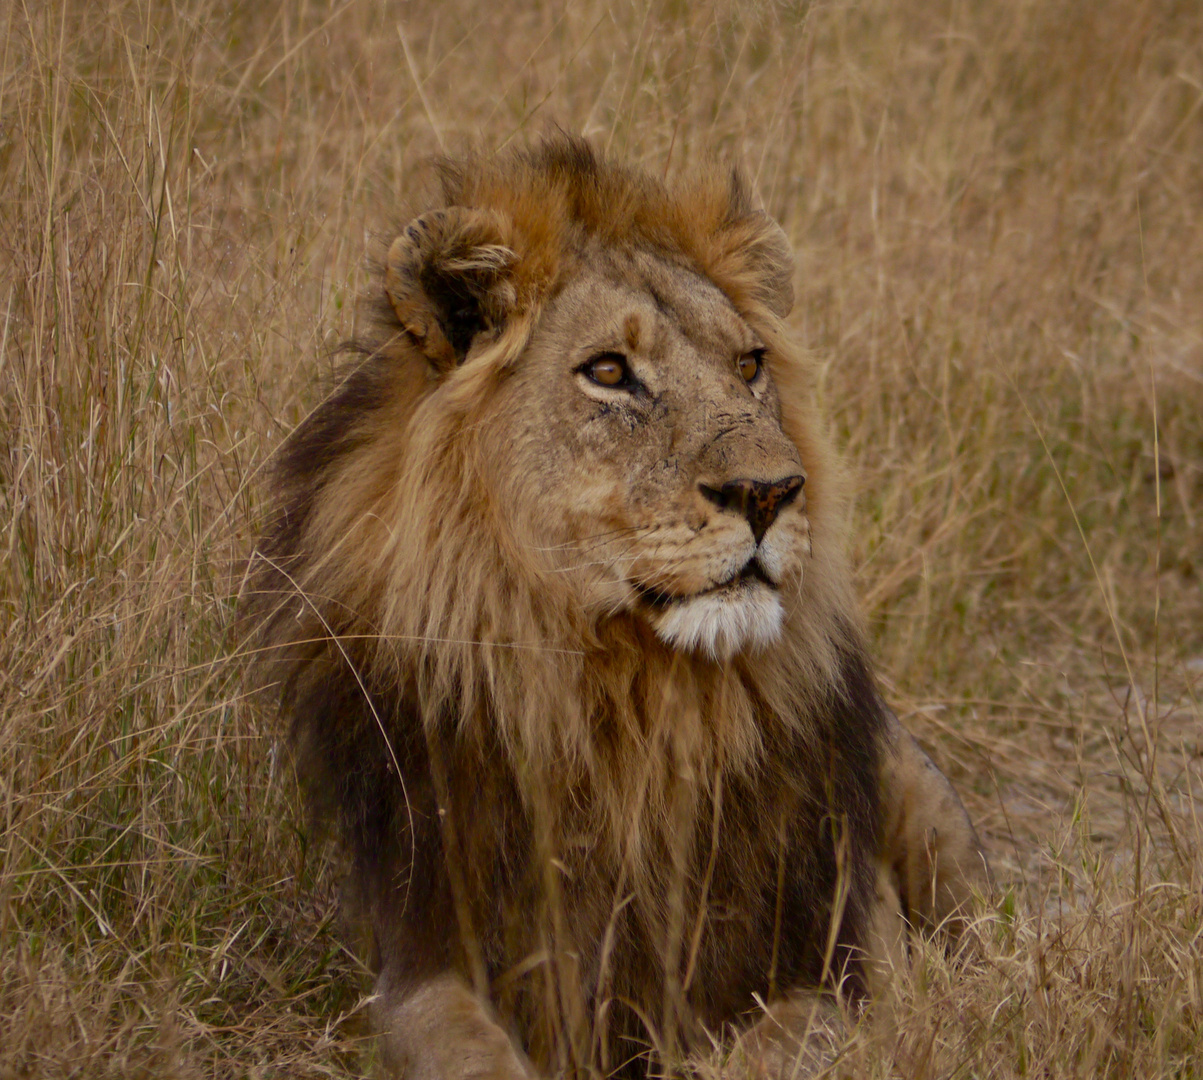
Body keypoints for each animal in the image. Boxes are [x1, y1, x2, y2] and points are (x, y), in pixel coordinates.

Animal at [249, 137, 991, 1077]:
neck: (624, 704)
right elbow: (464, 1049)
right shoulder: (422, 956)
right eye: (609, 372)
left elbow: (772, 1049)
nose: (770, 492)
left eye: (748, 365)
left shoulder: (842, 964)